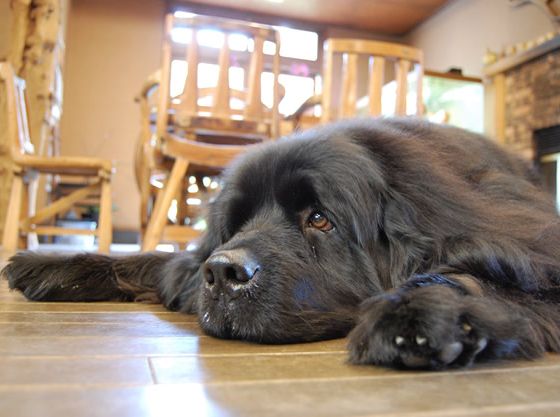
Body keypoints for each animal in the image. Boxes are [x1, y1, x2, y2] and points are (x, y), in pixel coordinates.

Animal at [3, 117, 560, 368]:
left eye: (319, 219)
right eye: (235, 223)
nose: (223, 273)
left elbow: (495, 275)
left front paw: (426, 311)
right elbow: (157, 261)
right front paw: (48, 264)